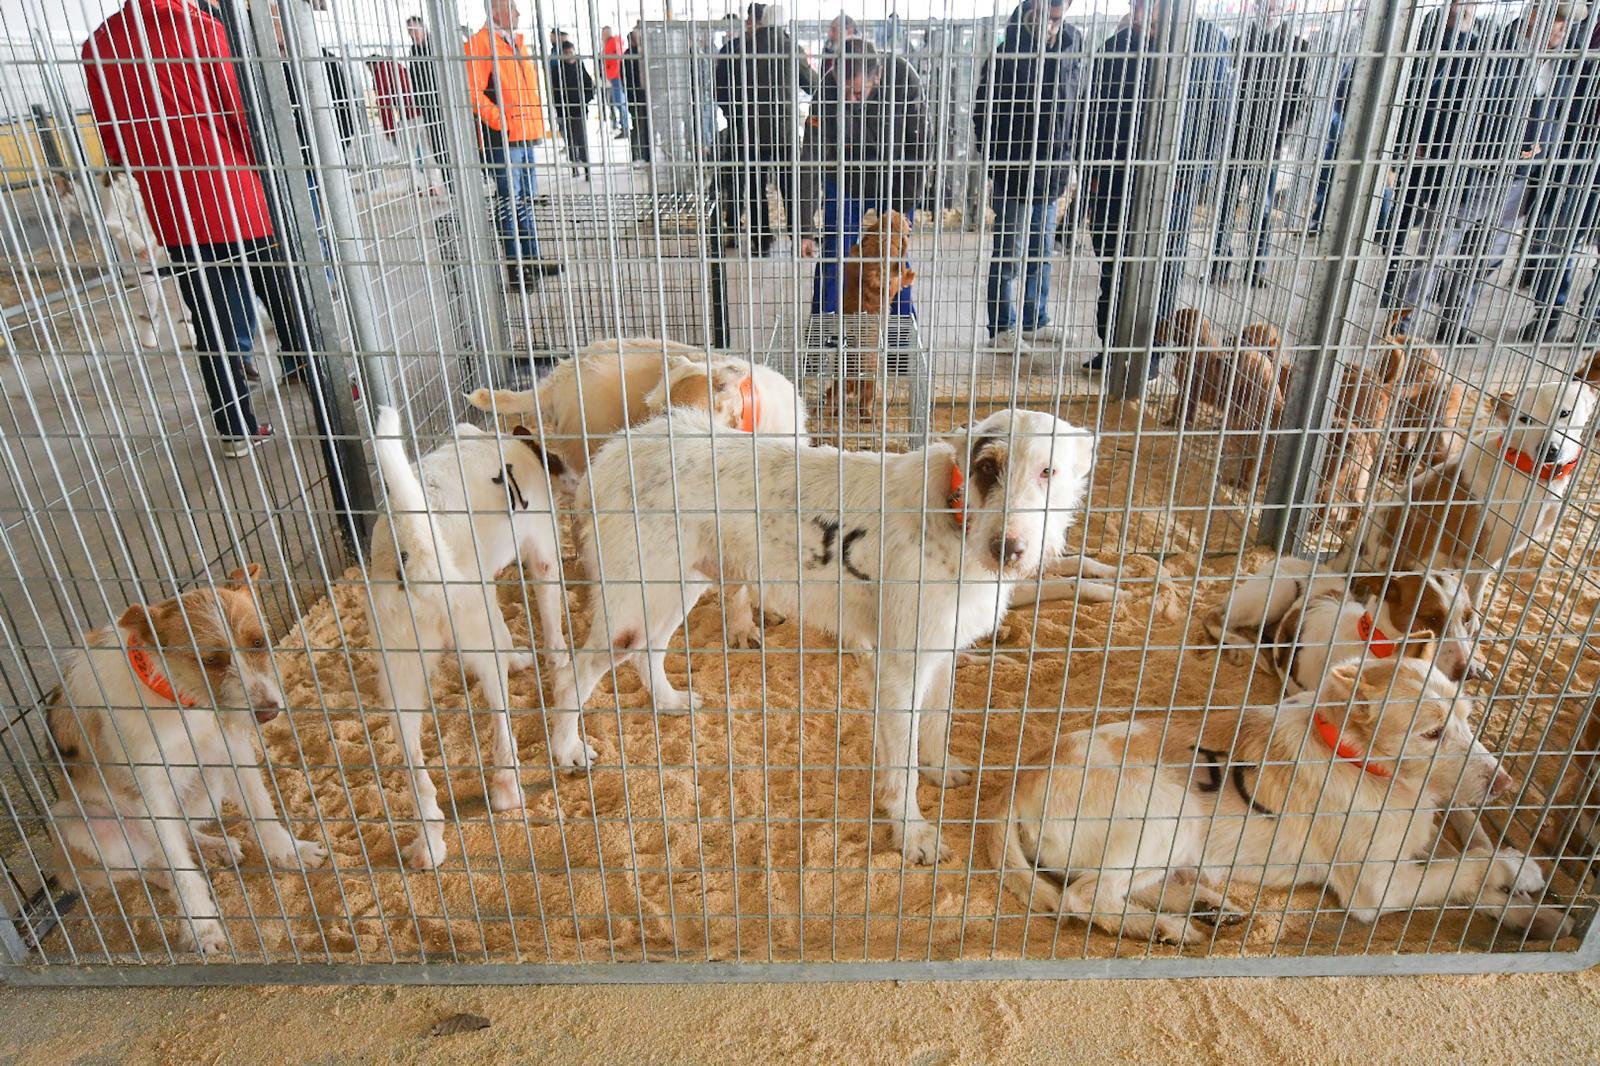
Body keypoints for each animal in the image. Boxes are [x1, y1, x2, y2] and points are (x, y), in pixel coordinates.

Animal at [48, 563, 328, 953]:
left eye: (258, 642)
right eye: (209, 660)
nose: (269, 712)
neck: (180, 700)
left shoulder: (231, 750)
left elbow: (262, 811)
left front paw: (290, 852)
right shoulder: (150, 794)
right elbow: (181, 870)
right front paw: (202, 928)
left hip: (206, 782)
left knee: (182, 831)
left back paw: (215, 846)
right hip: (77, 823)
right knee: (150, 862)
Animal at [371, 404, 572, 864]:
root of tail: (415, 550)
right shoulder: (542, 551)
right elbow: (550, 618)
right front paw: (557, 657)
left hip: (399, 678)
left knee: (416, 772)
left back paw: (429, 845)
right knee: (501, 732)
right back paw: (507, 791)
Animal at [553, 403, 1100, 857]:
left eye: (1048, 471)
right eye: (987, 468)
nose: (1008, 549)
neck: (954, 509)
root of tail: (616, 450)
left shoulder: (942, 650)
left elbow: (936, 722)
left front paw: (939, 767)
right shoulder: (899, 671)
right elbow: (901, 768)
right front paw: (912, 834)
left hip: (675, 586)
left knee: (648, 651)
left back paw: (668, 702)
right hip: (637, 600)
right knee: (573, 673)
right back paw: (567, 750)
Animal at [985, 659, 1561, 941]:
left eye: (1467, 717)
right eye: (1433, 733)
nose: (1505, 784)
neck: (1357, 759)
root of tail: (1020, 779)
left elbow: (1463, 880)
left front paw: (1533, 917)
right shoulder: (1377, 887)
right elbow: (1468, 866)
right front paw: (1523, 867)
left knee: (1120, 887)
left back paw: (1205, 907)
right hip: (1171, 811)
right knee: (1085, 897)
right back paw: (1169, 928)